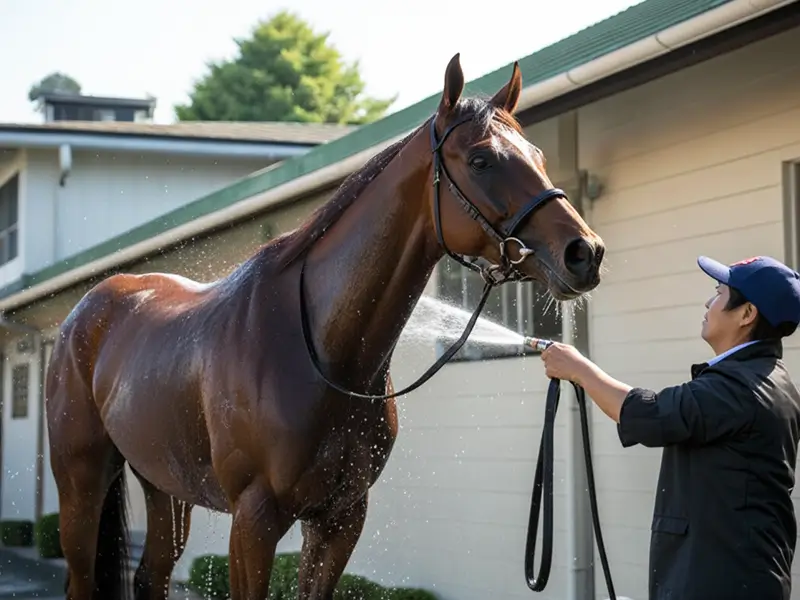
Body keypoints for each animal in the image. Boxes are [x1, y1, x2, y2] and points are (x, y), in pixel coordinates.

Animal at [45, 53, 606, 600]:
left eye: (538, 156)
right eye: (481, 160)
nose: (585, 252)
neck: (319, 349)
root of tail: (85, 312)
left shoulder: (341, 517)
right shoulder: (253, 519)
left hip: (163, 484)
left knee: (152, 576)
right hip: (81, 481)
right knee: (81, 578)